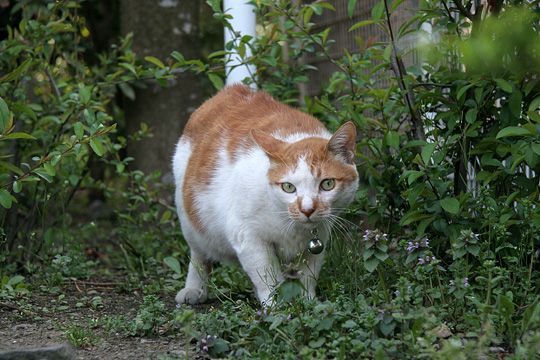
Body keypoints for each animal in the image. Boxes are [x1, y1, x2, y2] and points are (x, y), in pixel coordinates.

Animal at [173, 85, 358, 306]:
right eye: (288, 187)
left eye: (327, 184)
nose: (307, 209)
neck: (292, 226)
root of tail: (233, 89)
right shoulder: (249, 238)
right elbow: (268, 278)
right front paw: (275, 308)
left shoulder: (318, 239)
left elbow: (308, 276)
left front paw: (309, 303)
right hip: (190, 220)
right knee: (199, 254)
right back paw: (195, 288)